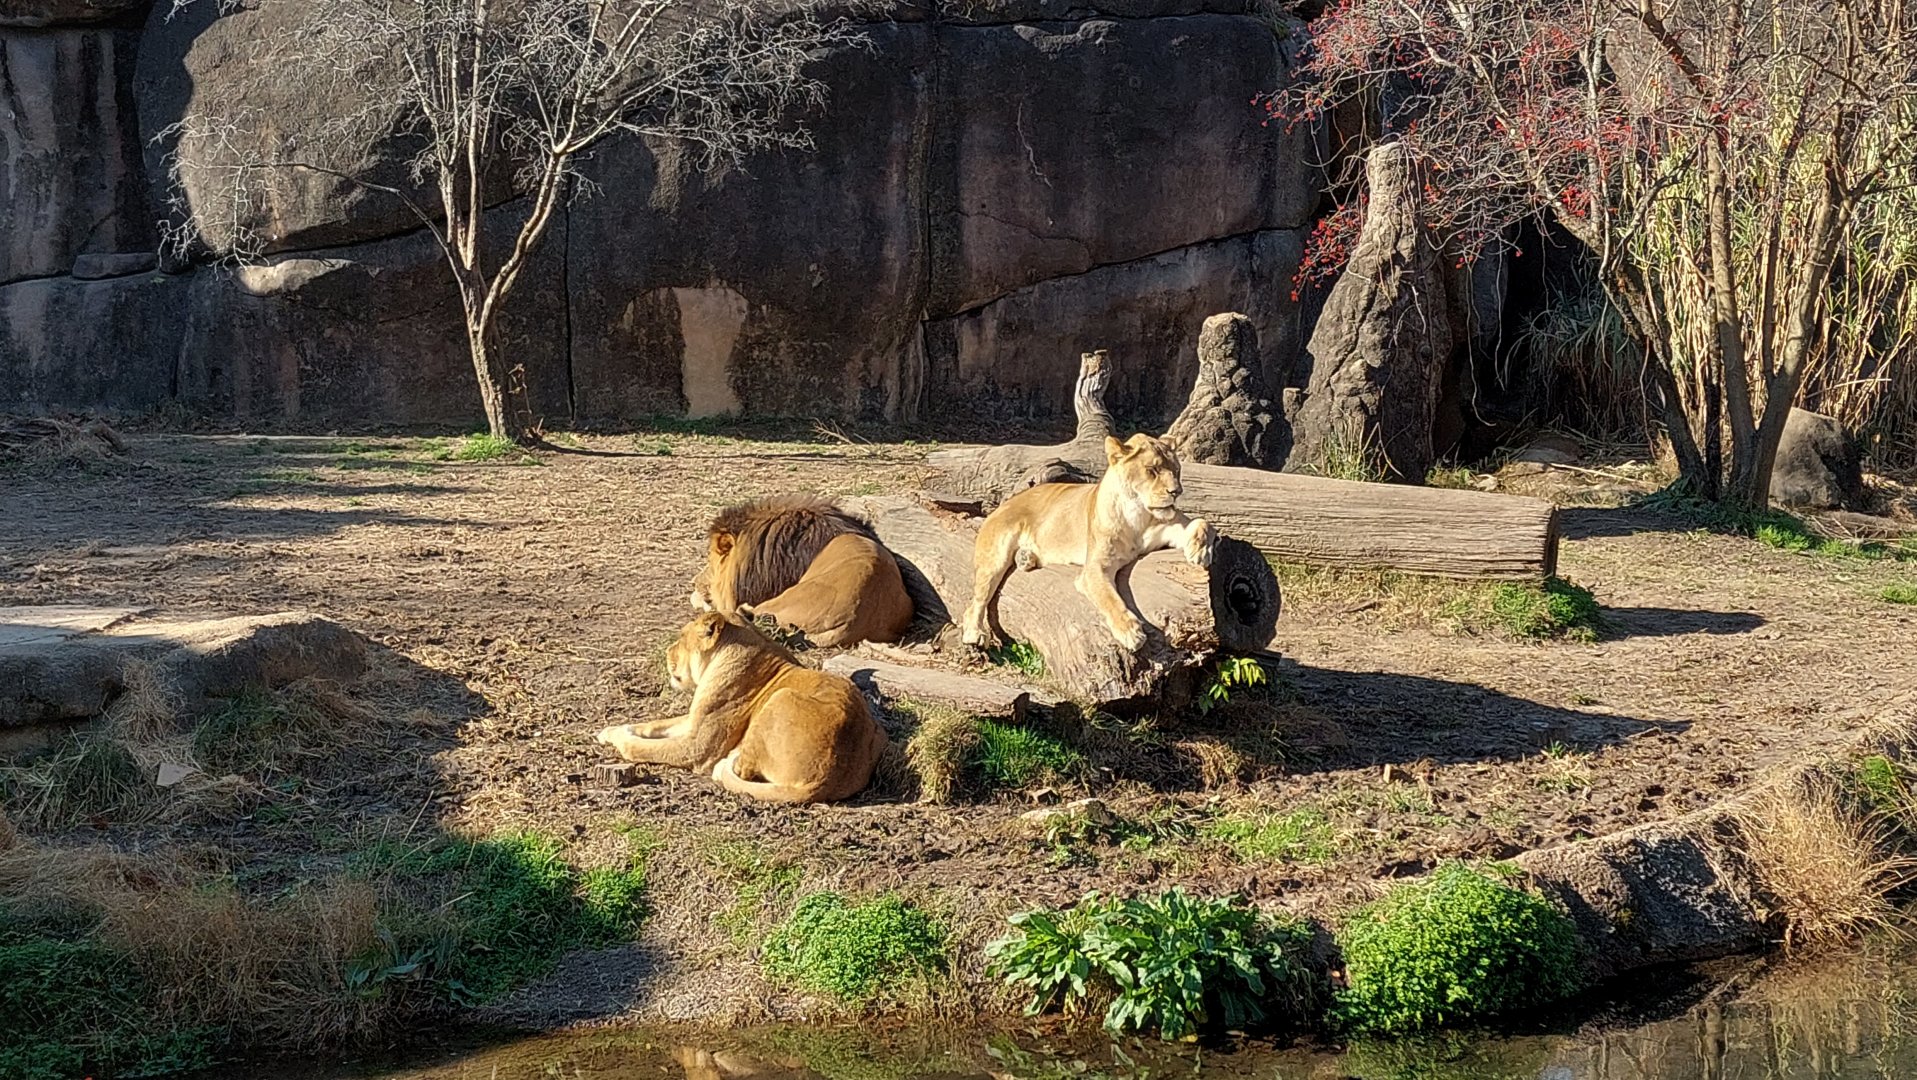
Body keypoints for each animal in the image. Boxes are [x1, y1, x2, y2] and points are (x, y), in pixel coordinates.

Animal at [596, 612, 886, 804]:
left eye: (680, 639)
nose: (667, 652)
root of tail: (824, 780)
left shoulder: (699, 748)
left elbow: (641, 748)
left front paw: (619, 738)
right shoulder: (694, 722)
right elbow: (654, 724)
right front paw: (610, 730)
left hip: (780, 697)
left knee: (742, 768)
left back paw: (726, 764)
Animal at [959, 433, 1216, 652]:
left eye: (1176, 470)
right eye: (1152, 470)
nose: (1176, 491)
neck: (1139, 516)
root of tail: (1004, 503)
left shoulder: (1171, 525)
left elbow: (1204, 523)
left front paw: (1199, 550)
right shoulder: (1095, 568)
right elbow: (1110, 598)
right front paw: (1131, 632)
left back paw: (1026, 557)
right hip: (995, 557)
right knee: (976, 601)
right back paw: (974, 633)